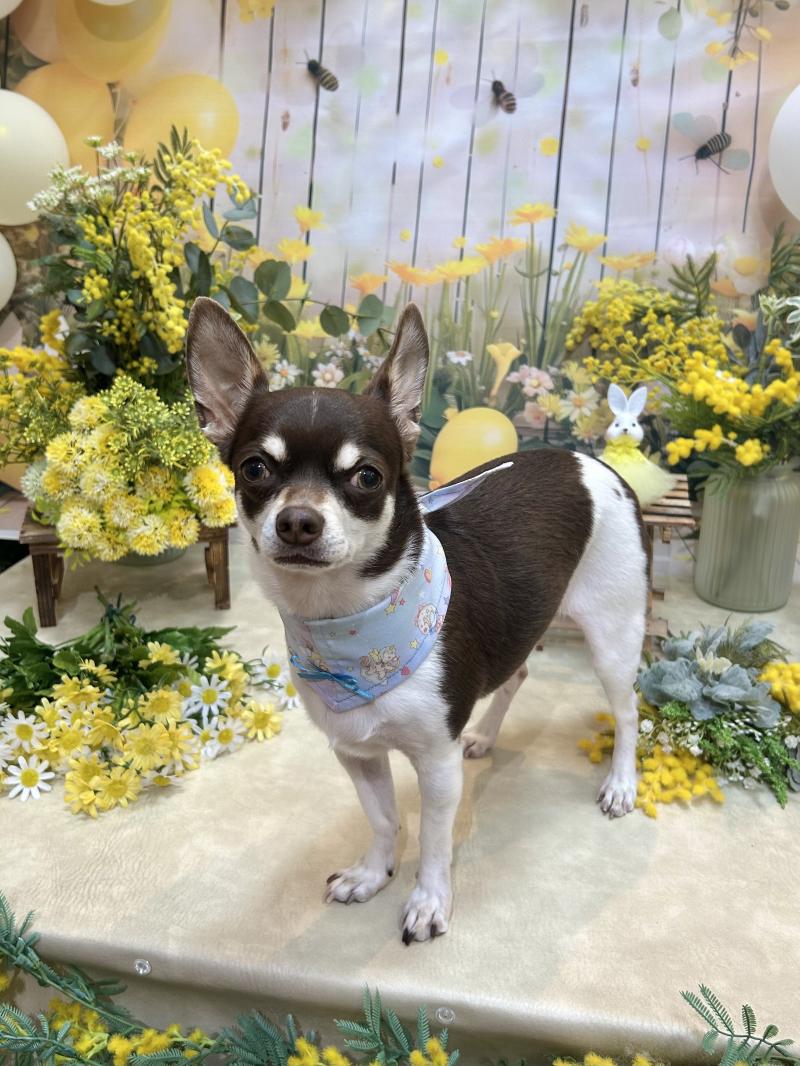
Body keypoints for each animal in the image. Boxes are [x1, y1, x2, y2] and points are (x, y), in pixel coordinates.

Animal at [185, 298, 647, 944]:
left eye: (367, 477)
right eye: (254, 470)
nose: (298, 521)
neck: (348, 621)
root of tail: (593, 460)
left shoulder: (436, 764)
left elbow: (433, 837)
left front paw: (429, 900)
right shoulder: (356, 753)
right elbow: (382, 819)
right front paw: (373, 873)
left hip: (612, 636)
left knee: (628, 713)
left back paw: (621, 783)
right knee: (517, 674)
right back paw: (484, 734)